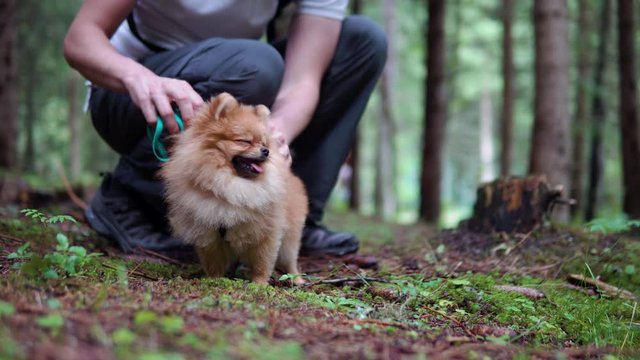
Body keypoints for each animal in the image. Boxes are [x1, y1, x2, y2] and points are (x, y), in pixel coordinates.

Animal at [162, 92, 308, 284]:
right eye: (244, 141)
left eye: (264, 143)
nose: (266, 151)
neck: (232, 185)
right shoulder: (209, 234)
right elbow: (214, 263)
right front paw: (214, 280)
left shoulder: (266, 232)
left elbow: (262, 263)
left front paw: (259, 284)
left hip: (290, 238)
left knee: (290, 261)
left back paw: (297, 281)